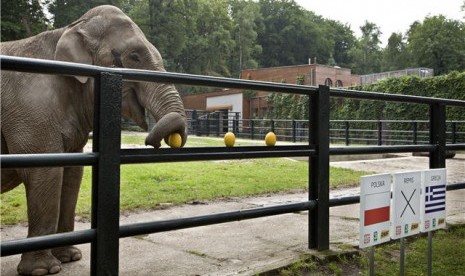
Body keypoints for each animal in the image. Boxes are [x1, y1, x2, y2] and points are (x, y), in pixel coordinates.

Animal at [0, 4, 188, 276]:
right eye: (134, 57)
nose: (152, 142)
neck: (68, 29)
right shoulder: (31, 110)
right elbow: (45, 172)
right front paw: (43, 270)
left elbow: (72, 173)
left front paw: (70, 257)